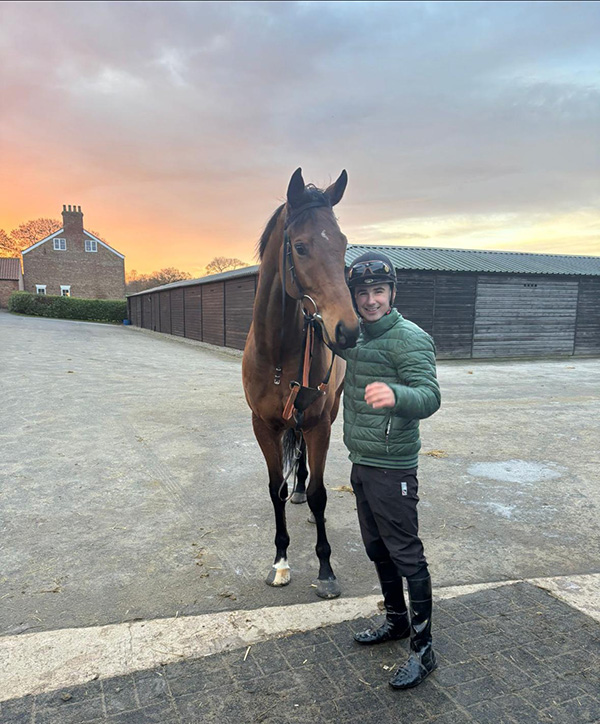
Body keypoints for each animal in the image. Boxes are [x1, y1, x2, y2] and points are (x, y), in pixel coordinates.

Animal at [242, 168, 360, 599]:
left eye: (343, 244)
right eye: (301, 247)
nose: (348, 330)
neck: (277, 354)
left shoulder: (318, 423)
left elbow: (320, 494)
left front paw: (325, 571)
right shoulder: (264, 426)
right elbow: (274, 489)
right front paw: (280, 563)